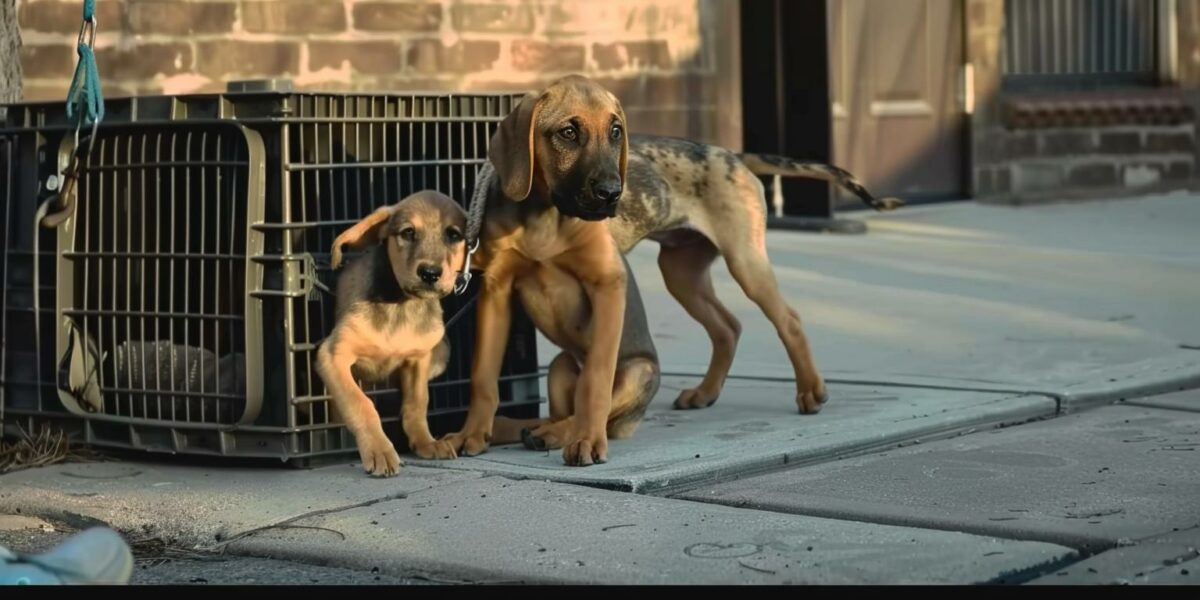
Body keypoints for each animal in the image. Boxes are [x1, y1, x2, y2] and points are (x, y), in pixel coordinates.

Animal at [316, 189, 465, 475]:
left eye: (453, 235)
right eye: (408, 232)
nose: (430, 273)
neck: (401, 306)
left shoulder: (419, 359)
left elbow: (417, 404)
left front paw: (427, 443)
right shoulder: (333, 355)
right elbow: (361, 404)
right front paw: (379, 450)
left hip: (442, 351)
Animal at [441, 75, 902, 465]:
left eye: (616, 131)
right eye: (568, 132)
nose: (612, 194)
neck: (545, 215)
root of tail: (731, 153)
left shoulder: (608, 284)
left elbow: (597, 381)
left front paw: (587, 441)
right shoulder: (496, 292)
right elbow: (483, 378)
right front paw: (471, 435)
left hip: (741, 260)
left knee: (786, 319)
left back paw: (810, 391)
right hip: (677, 276)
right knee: (726, 326)